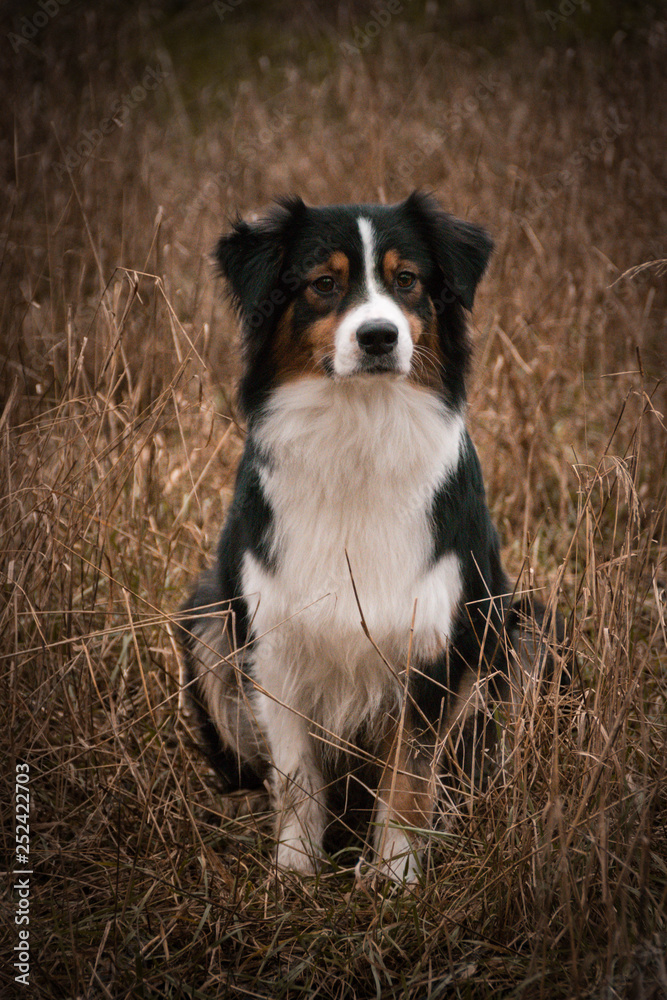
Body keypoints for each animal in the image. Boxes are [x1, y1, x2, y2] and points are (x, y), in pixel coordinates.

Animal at [177, 193, 564, 884]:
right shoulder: (273, 639)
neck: (358, 426)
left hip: (528, 632)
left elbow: (408, 776)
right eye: (323, 284)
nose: (379, 336)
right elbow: (296, 776)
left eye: (406, 280)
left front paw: (396, 878)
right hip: (206, 621)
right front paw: (294, 875)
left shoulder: (432, 640)